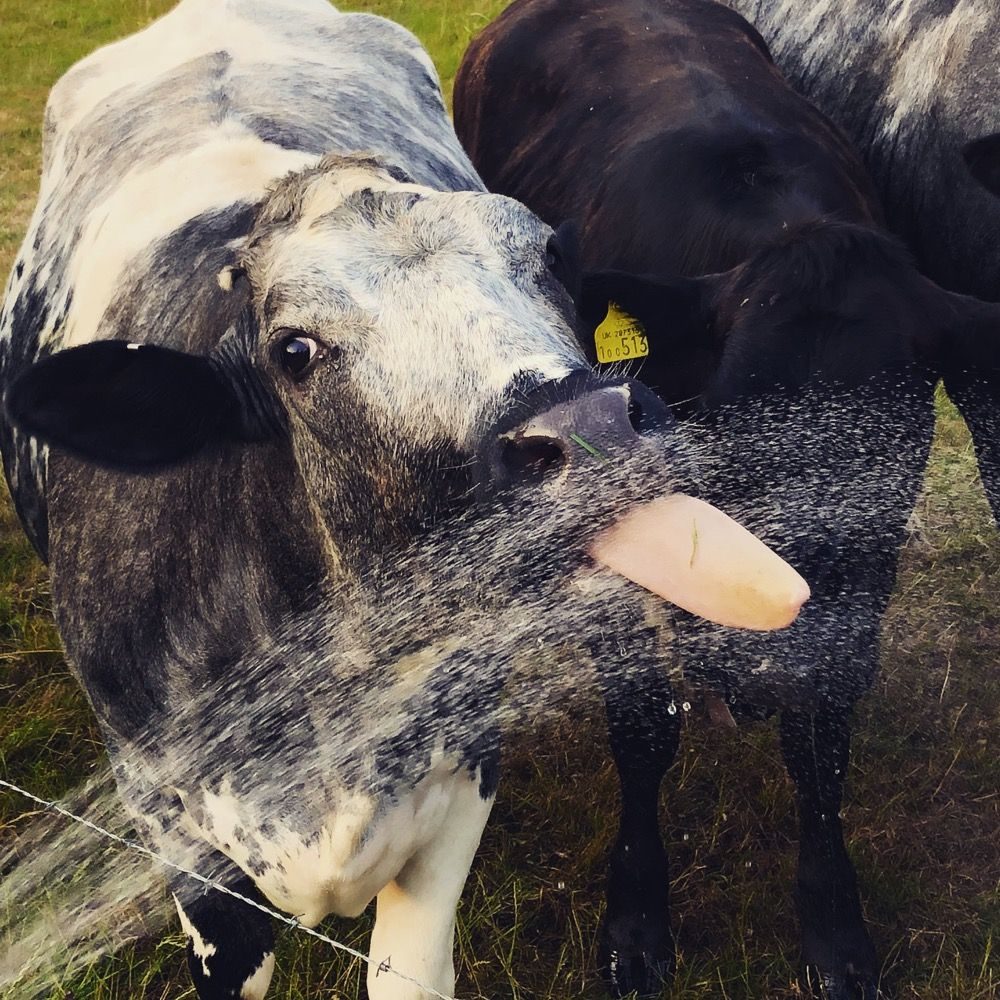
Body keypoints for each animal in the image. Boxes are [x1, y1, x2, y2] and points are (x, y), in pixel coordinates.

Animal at [456, 1, 1000, 1000]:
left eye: (890, 423)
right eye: (732, 405)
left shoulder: (865, 573)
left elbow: (822, 737)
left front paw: (834, 928)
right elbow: (641, 728)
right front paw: (635, 925)